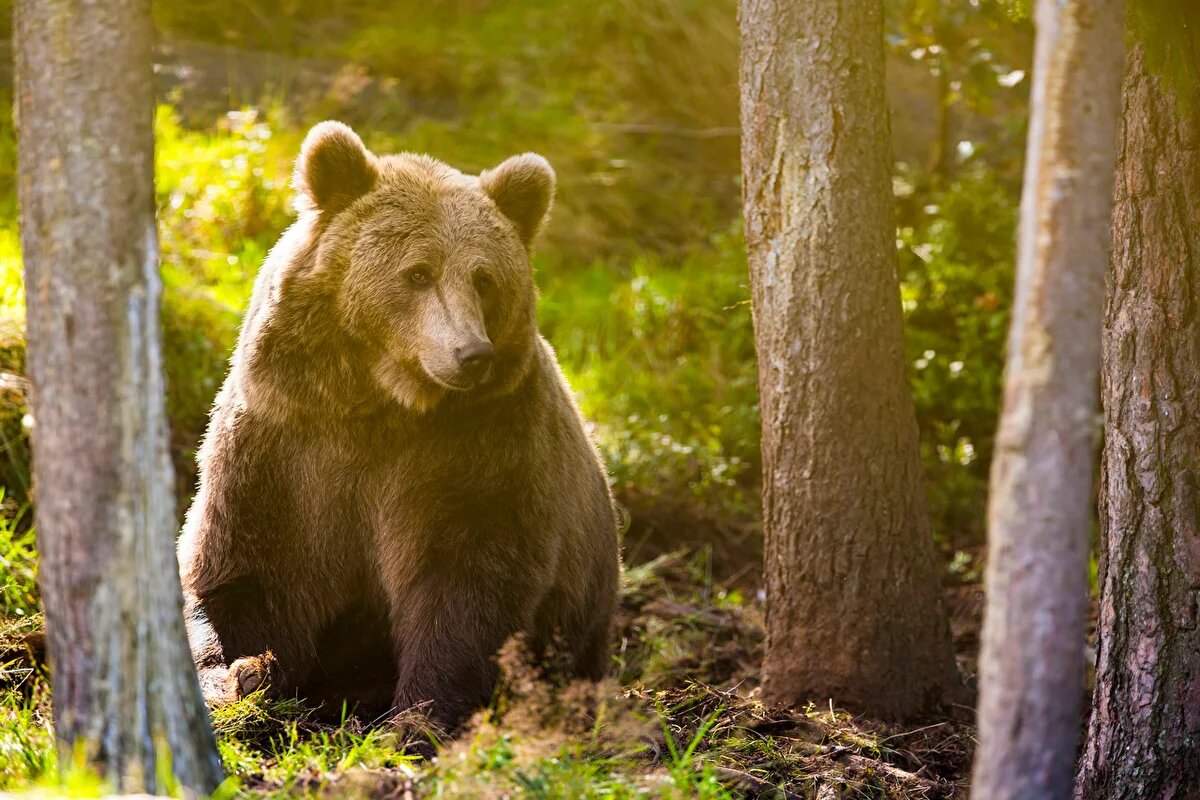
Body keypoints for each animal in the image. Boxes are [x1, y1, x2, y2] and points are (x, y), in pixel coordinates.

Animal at [180, 122, 628, 729]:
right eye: (418, 272)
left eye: (484, 278)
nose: (472, 353)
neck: (383, 403)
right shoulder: (283, 442)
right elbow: (243, 571)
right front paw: (240, 675)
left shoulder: (483, 451)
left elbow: (466, 591)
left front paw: (419, 717)